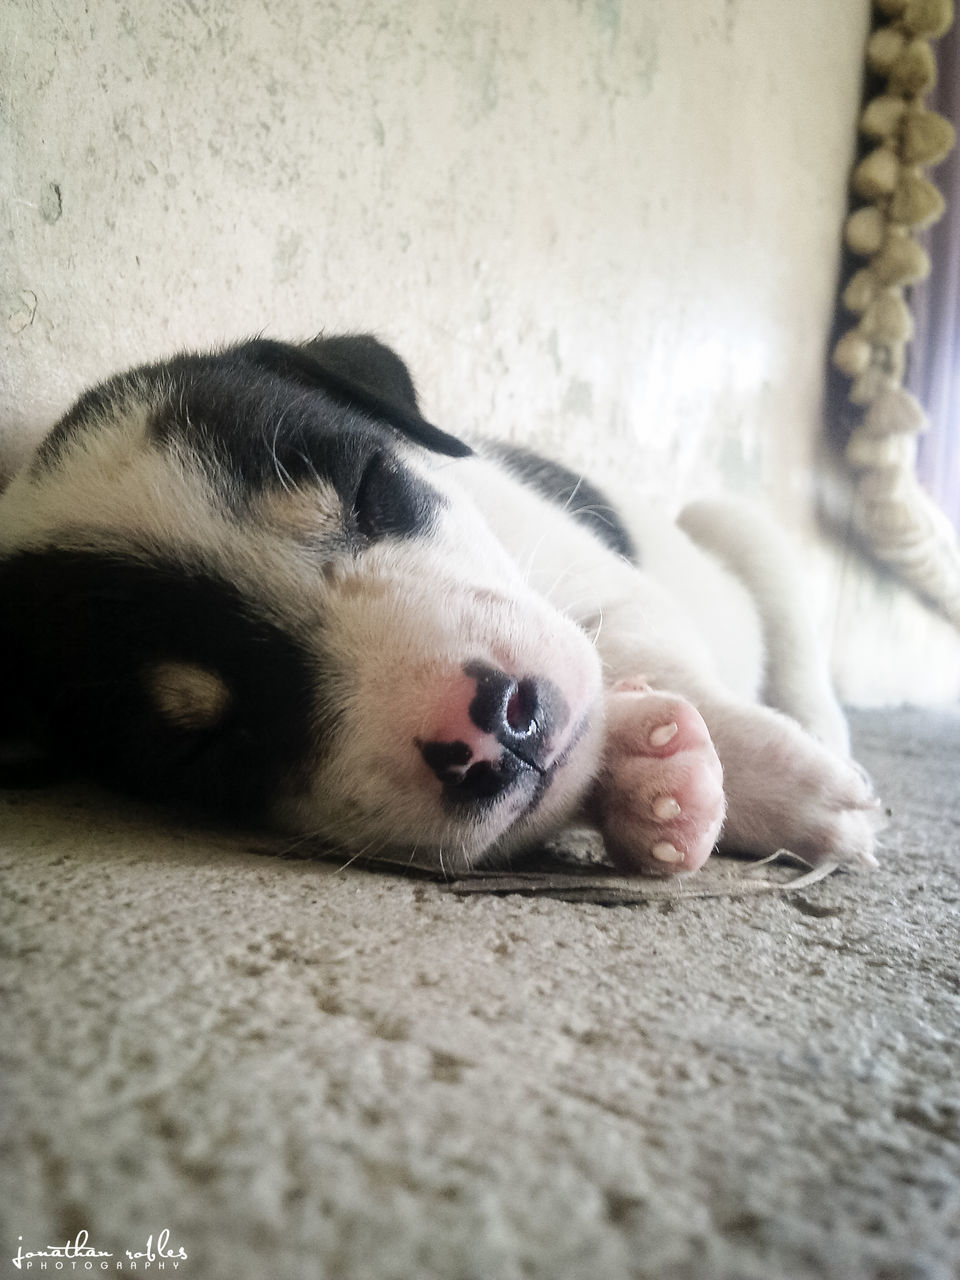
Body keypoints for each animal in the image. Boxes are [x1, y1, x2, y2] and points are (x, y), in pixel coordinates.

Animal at [0, 330, 885, 875]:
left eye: (370, 488)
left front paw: (790, 790)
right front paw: (650, 776)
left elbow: (649, 657)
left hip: (734, 527)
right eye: (206, 746)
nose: (494, 728)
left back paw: (819, 732)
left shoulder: (611, 588)